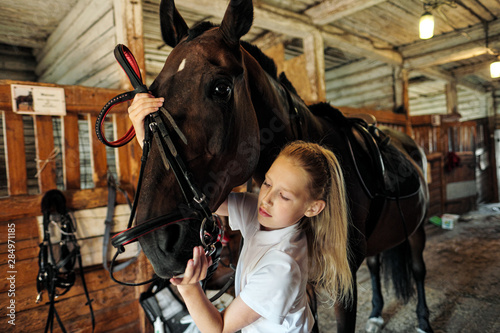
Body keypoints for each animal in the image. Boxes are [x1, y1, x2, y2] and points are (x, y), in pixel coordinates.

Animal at [135, 0, 432, 332]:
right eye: (152, 92)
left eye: (221, 88)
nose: (157, 243)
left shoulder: (343, 282)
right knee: (377, 264)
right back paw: (377, 312)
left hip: (418, 227)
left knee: (418, 269)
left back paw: (422, 318)